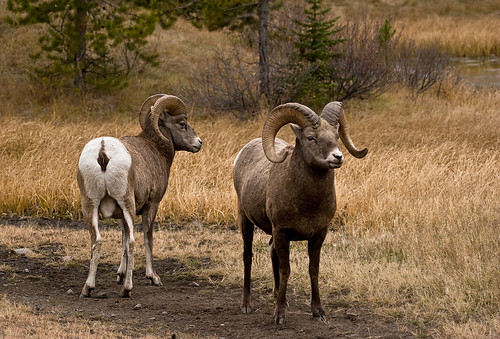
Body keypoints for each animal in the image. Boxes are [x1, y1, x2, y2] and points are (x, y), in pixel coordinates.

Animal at [76, 94, 201, 298]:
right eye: (182, 124)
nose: (199, 143)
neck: (155, 149)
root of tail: (103, 151)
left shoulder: (122, 214)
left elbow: (123, 240)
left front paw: (120, 274)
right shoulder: (151, 205)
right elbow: (146, 239)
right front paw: (153, 278)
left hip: (90, 205)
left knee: (97, 241)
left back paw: (88, 288)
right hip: (127, 202)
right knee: (133, 242)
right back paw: (127, 289)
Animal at [233, 101, 368, 324]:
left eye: (336, 136)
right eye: (311, 138)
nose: (337, 157)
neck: (308, 204)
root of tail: (242, 153)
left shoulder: (318, 235)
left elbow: (313, 270)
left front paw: (318, 311)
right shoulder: (282, 233)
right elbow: (285, 270)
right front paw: (279, 316)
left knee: (271, 252)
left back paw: (279, 296)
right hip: (245, 220)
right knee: (247, 256)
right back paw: (246, 304)